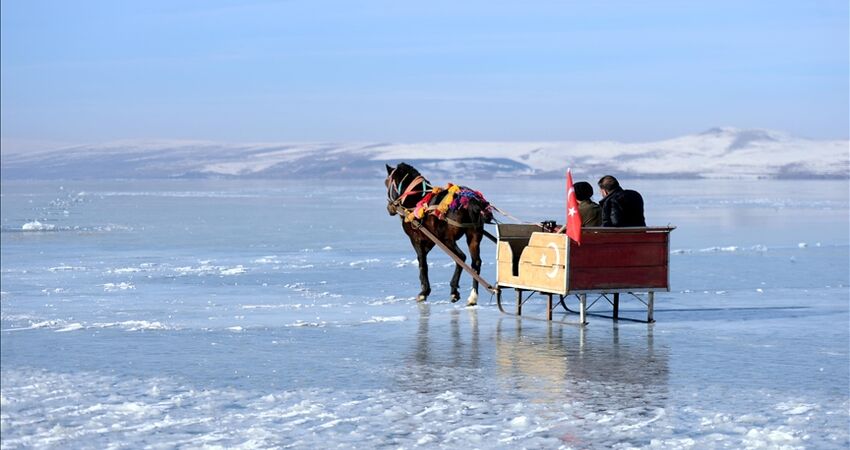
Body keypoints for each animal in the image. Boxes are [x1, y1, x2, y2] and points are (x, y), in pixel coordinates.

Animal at [382, 162, 490, 306]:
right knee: (476, 262)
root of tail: (470, 201)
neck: (414, 200)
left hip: (447, 239)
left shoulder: (416, 238)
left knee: (460, 257)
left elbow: (422, 262)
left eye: (386, 182)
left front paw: (423, 292)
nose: (389, 208)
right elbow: (422, 260)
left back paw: (454, 291)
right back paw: (472, 297)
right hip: (474, 235)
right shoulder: (431, 239)